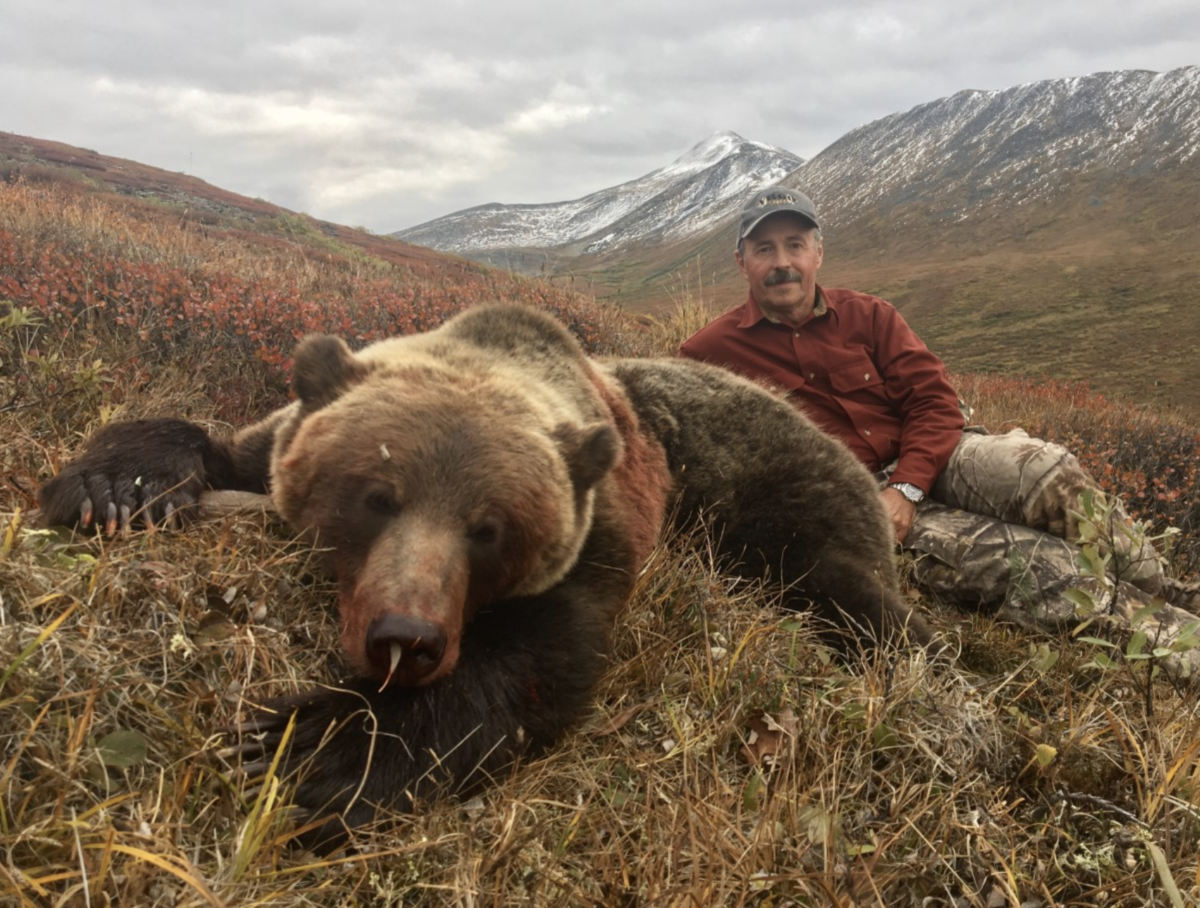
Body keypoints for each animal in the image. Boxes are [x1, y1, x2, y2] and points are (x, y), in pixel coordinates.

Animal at [39, 303, 931, 849]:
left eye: (489, 529)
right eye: (375, 496)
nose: (407, 638)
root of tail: (838, 439)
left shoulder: (597, 541)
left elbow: (537, 663)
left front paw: (307, 749)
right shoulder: (277, 441)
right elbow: (207, 442)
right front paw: (111, 488)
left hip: (772, 495)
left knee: (846, 587)